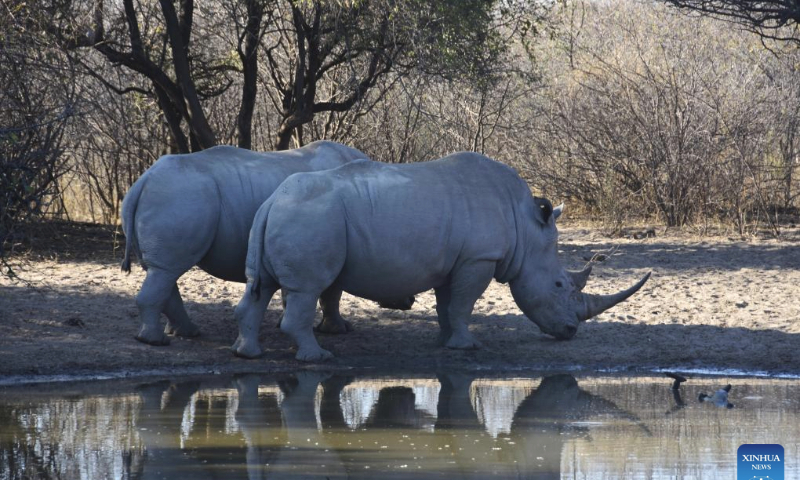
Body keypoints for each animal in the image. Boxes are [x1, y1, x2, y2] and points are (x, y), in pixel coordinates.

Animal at [120, 141, 370, 346]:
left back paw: (185, 333)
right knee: (167, 270)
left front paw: (284, 322)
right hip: (179, 196)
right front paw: (338, 330)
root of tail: (143, 180)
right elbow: (331, 292)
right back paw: (157, 340)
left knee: (163, 271)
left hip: (170, 197)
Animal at [233, 154, 648, 360]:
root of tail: (272, 201)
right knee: (306, 288)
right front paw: (468, 347)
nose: (570, 332)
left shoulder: (460, 259)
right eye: (561, 285)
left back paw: (247, 355)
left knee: (261, 286)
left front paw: (448, 342)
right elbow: (464, 303)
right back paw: (317, 358)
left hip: (284, 215)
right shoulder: (480, 257)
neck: (526, 228)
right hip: (311, 219)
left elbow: (449, 304)